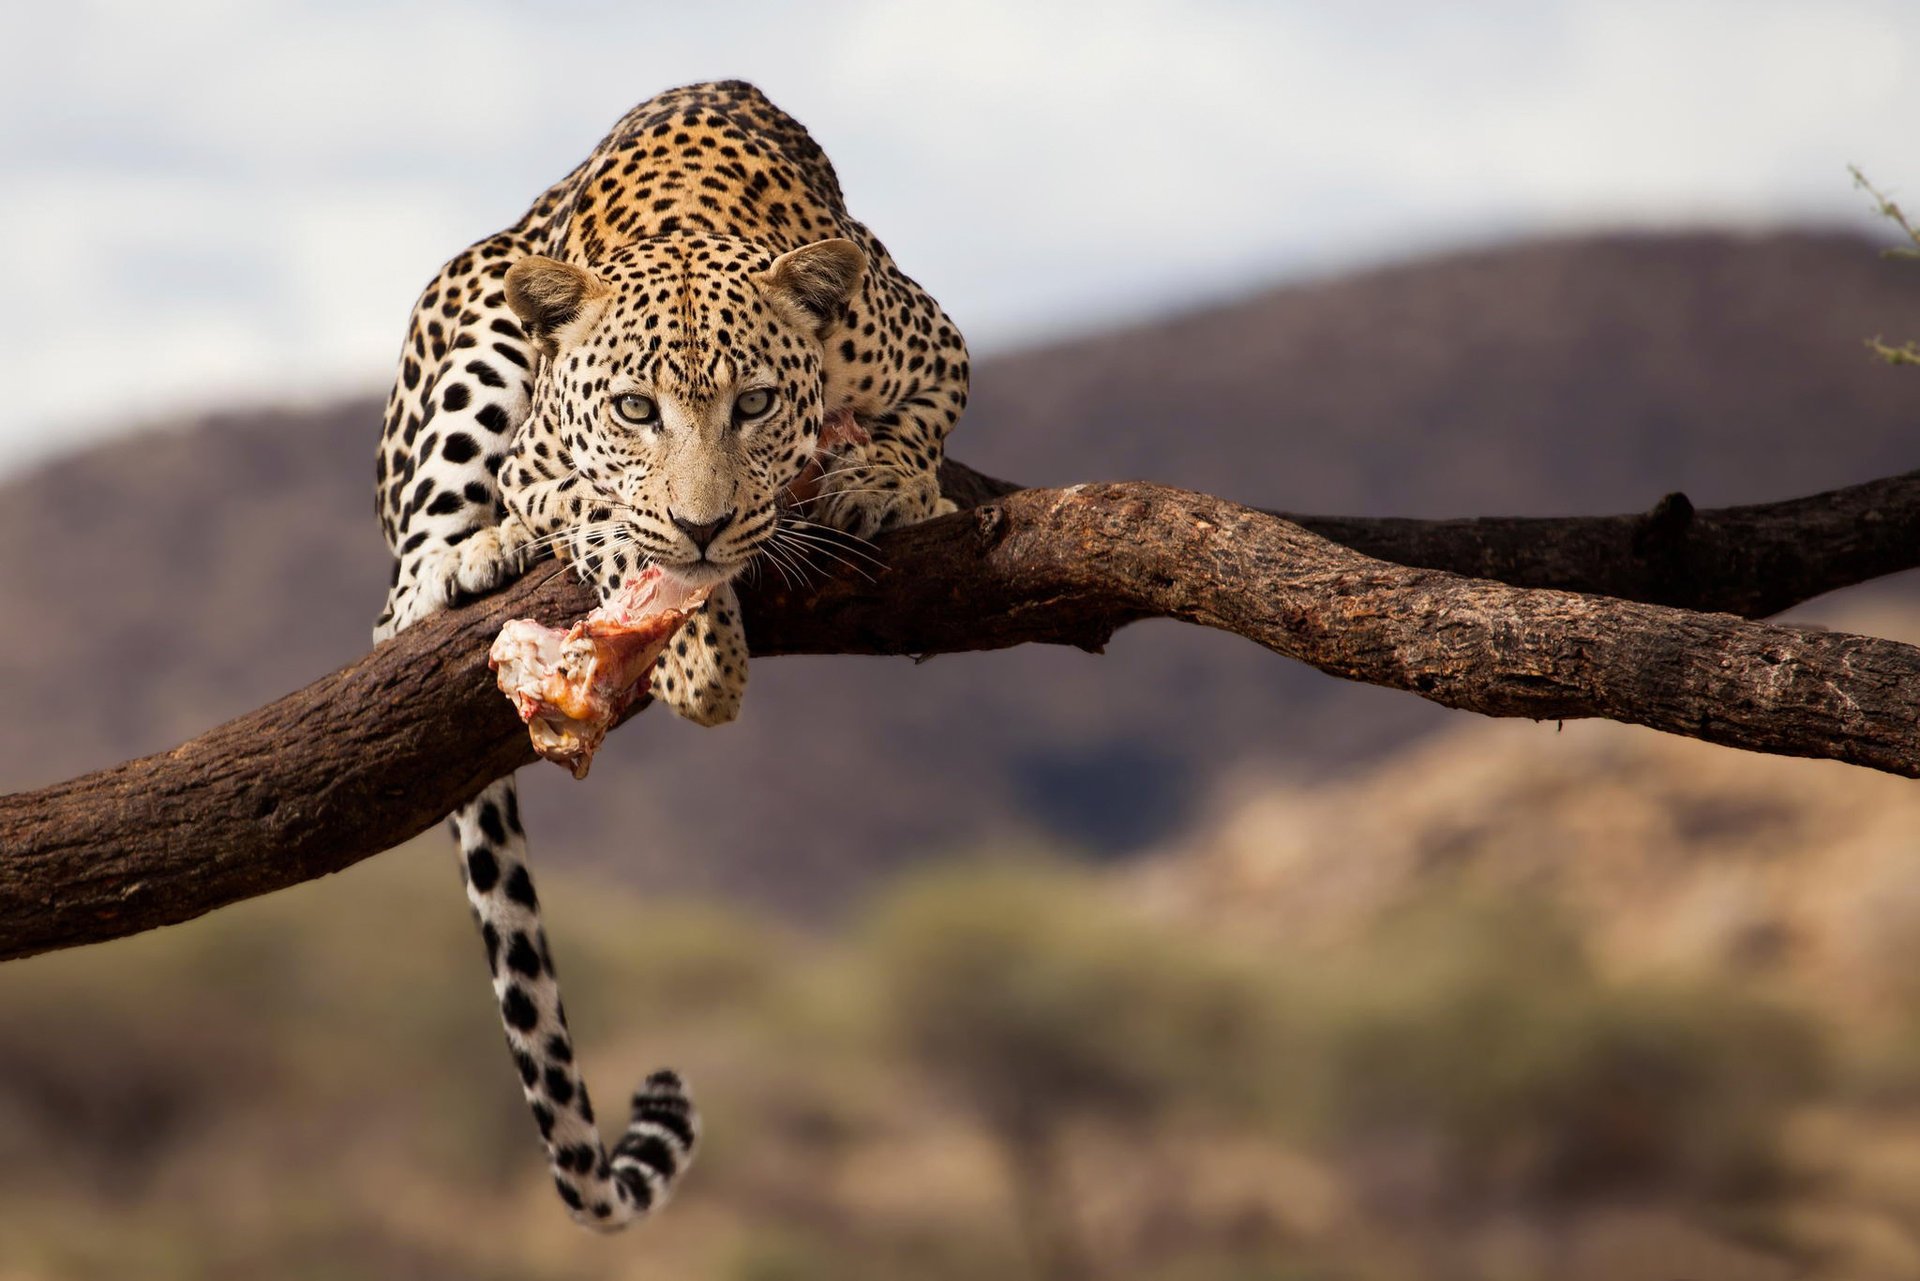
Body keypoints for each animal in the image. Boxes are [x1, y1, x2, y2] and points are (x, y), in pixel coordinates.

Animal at [370, 80, 969, 1231]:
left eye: (757, 403)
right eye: (636, 409)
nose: (707, 522)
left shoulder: (937, 347)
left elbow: (917, 428)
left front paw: (883, 482)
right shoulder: (547, 468)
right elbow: (604, 519)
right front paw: (696, 646)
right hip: (474, 333)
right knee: (395, 607)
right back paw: (471, 560)